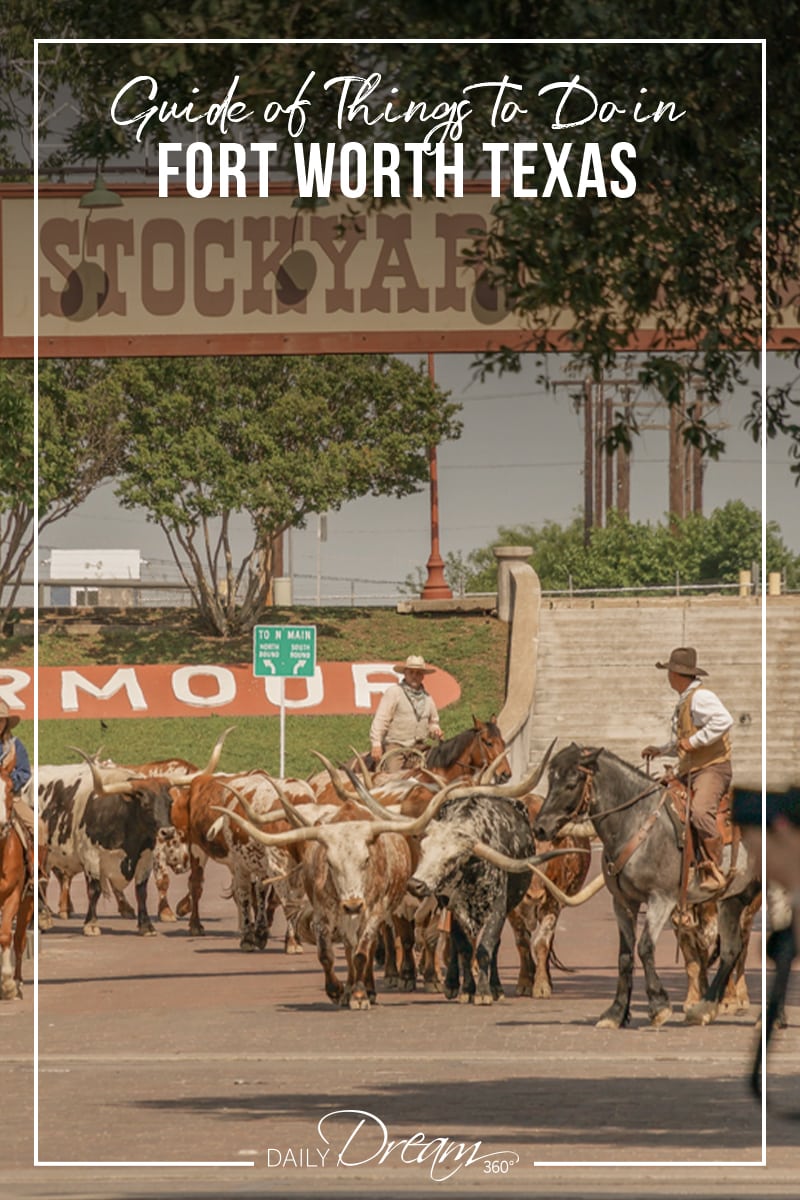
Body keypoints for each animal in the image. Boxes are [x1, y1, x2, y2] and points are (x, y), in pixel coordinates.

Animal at [527, 744, 762, 1027]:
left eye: (572, 783)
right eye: (551, 781)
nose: (540, 828)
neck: (636, 823)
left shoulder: (661, 899)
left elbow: (645, 947)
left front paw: (659, 1005)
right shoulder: (623, 902)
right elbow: (625, 955)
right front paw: (616, 1012)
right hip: (734, 897)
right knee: (731, 949)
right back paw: (704, 1009)